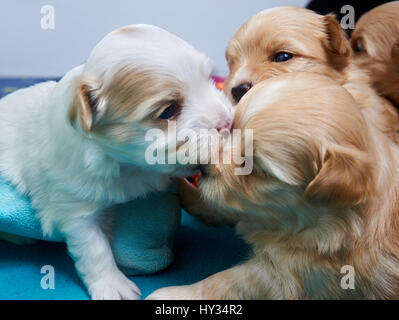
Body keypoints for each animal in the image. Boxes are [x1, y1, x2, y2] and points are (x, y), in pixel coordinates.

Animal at [0, 25, 233, 300]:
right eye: (168, 111)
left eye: (209, 80)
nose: (228, 122)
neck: (129, 166)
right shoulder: (73, 205)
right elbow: (95, 248)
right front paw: (112, 285)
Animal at [148, 72, 399, 300]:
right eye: (232, 128)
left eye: (255, 168)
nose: (203, 165)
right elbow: (222, 205)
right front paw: (181, 188)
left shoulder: (289, 276)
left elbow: (225, 282)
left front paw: (171, 294)